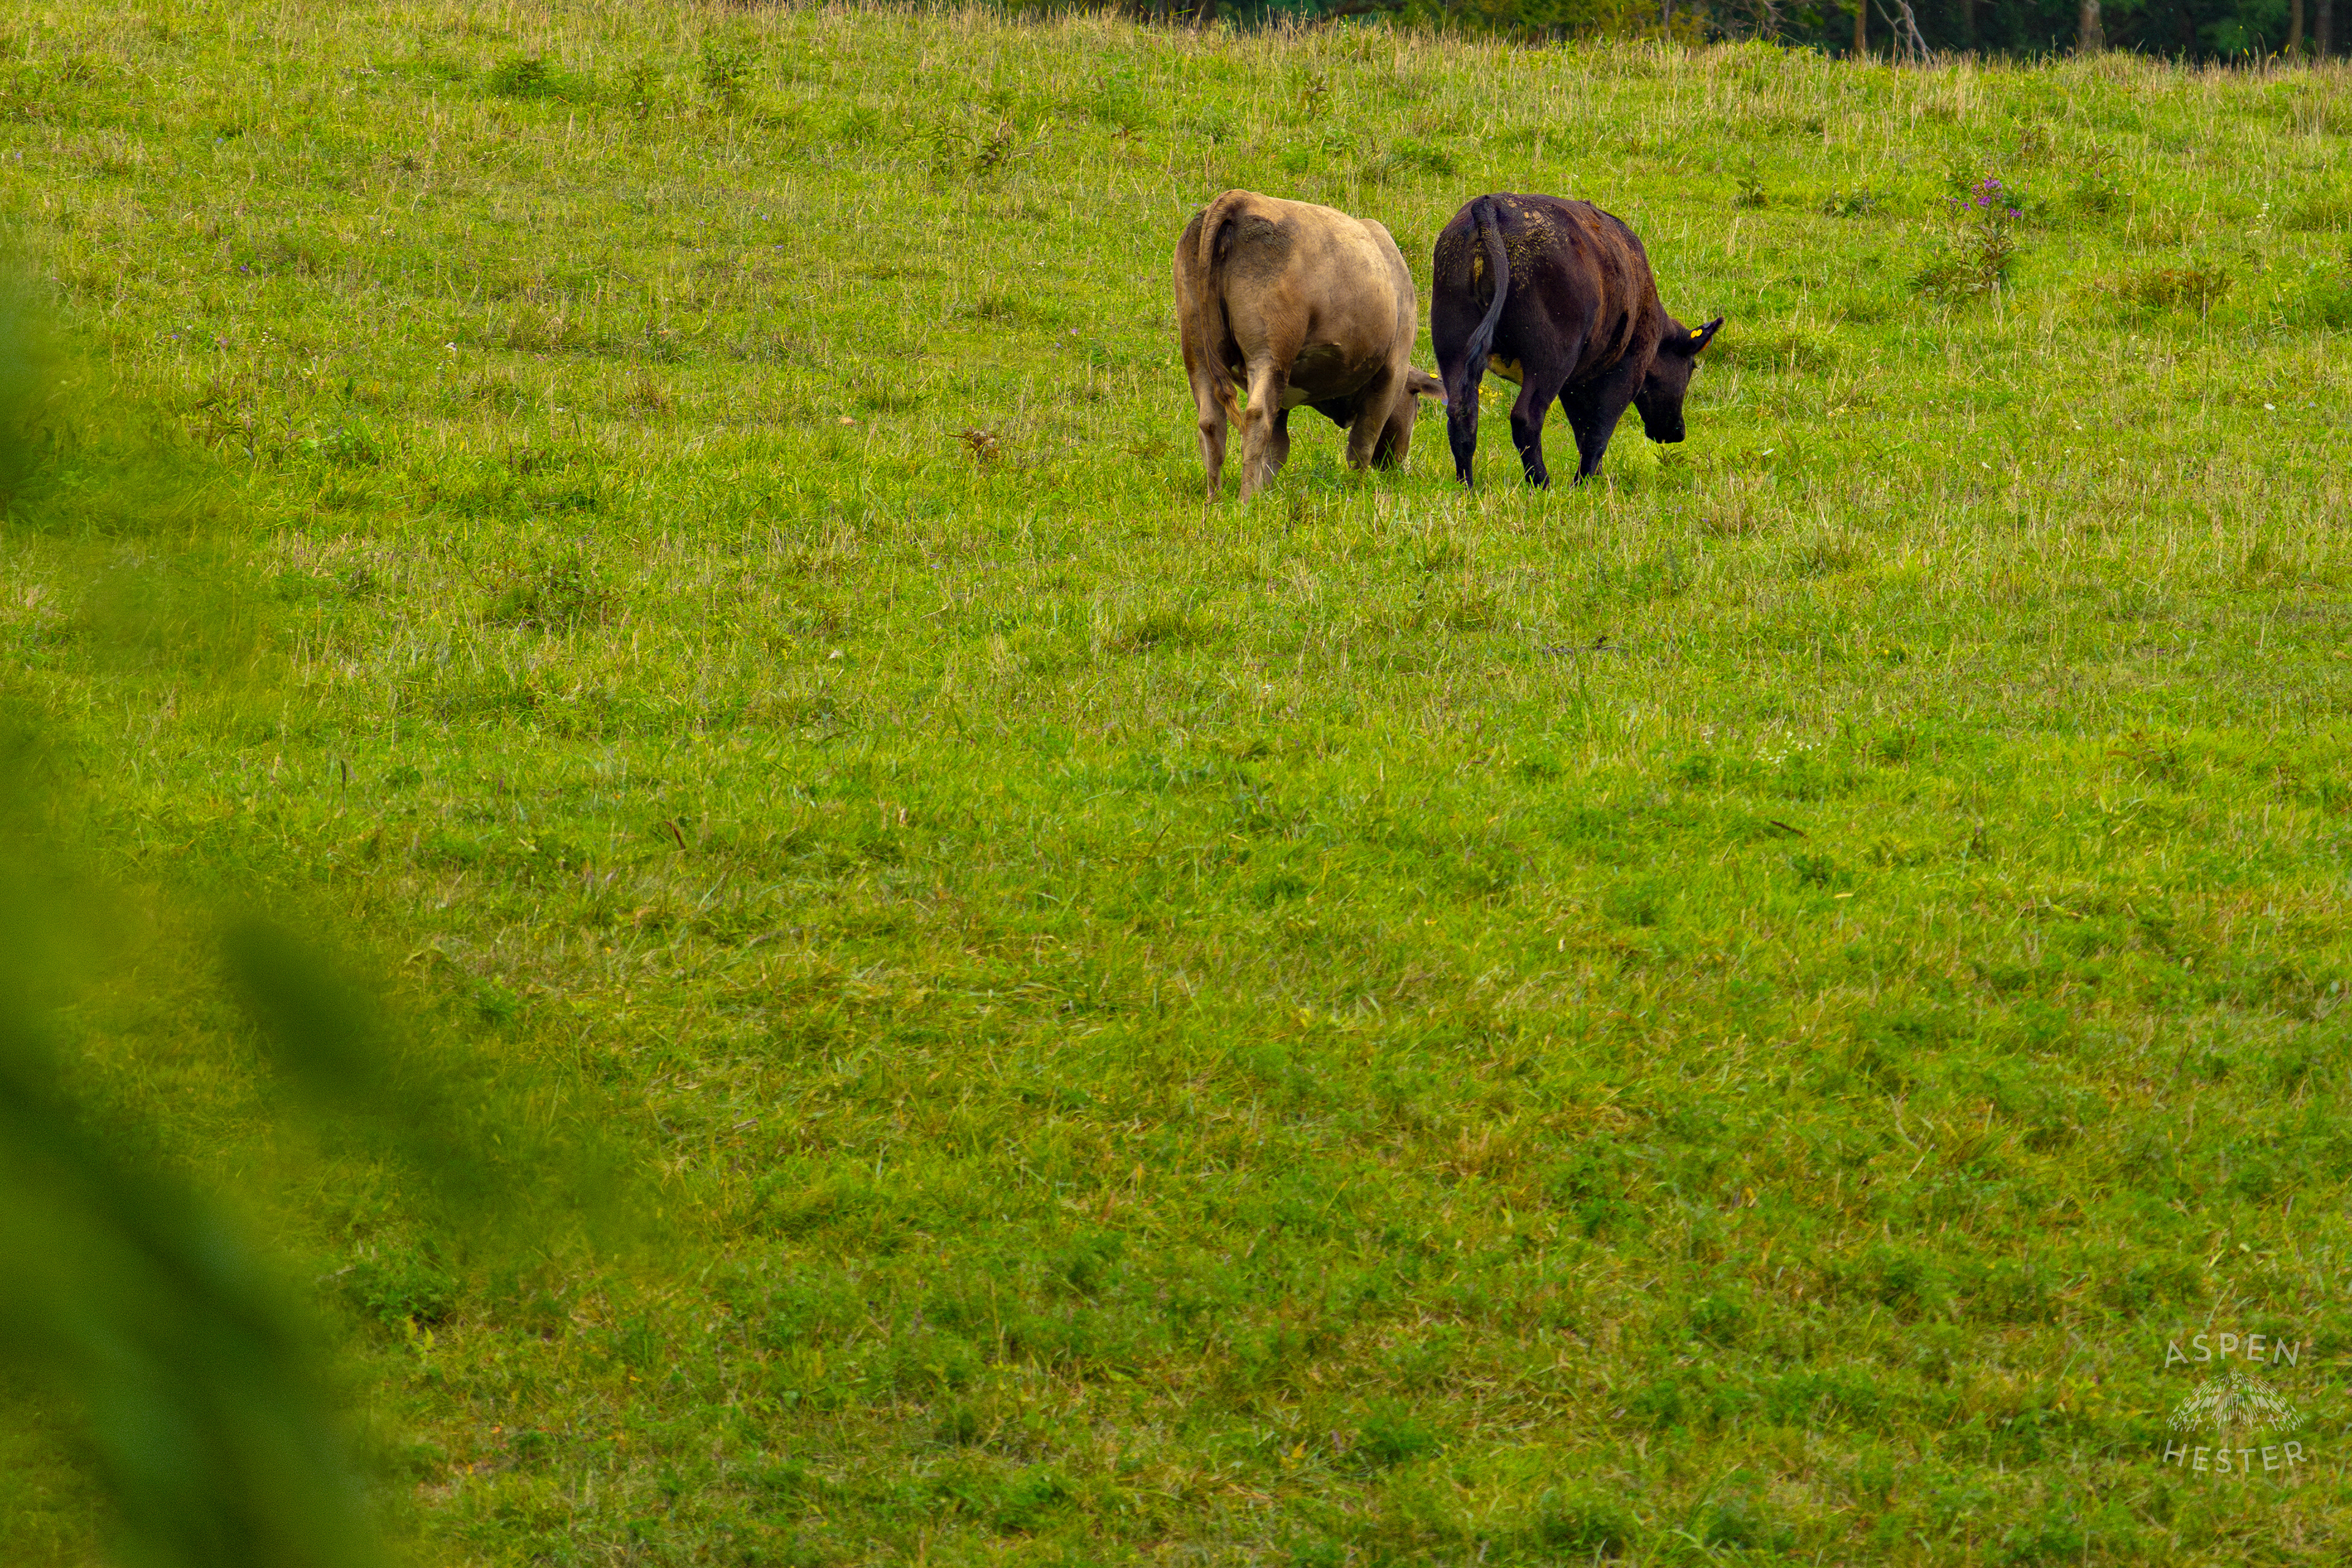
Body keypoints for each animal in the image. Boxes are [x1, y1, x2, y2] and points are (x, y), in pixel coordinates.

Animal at [1175, 190, 1445, 501]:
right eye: (1417, 405)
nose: (1397, 467)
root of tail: (1241, 198)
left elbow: (1277, 450)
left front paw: (1267, 493)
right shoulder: (1392, 371)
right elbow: (1362, 444)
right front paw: (1356, 490)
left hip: (1196, 348)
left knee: (1211, 422)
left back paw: (1215, 499)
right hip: (1271, 350)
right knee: (1256, 416)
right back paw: (1246, 502)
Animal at [1430, 193, 1721, 488]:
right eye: (1692, 366)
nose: (1677, 432)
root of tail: (1491, 205)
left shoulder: (1575, 380)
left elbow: (1583, 429)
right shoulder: (1628, 368)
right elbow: (1598, 431)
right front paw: (1584, 483)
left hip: (1453, 343)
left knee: (1461, 412)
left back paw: (1467, 485)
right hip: (1551, 357)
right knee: (1526, 417)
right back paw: (1542, 484)